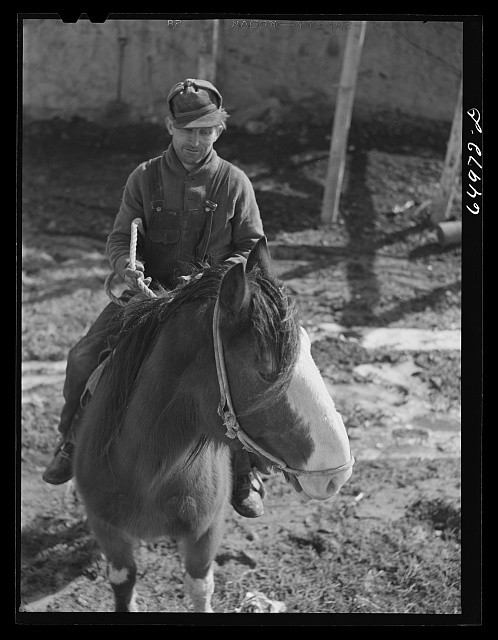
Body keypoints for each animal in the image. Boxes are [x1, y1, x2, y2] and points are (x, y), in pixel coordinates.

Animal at [74, 237, 355, 613]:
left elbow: (199, 584)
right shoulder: (107, 529)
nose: (338, 474)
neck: (146, 472)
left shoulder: (205, 531)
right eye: (265, 367)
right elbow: (123, 582)